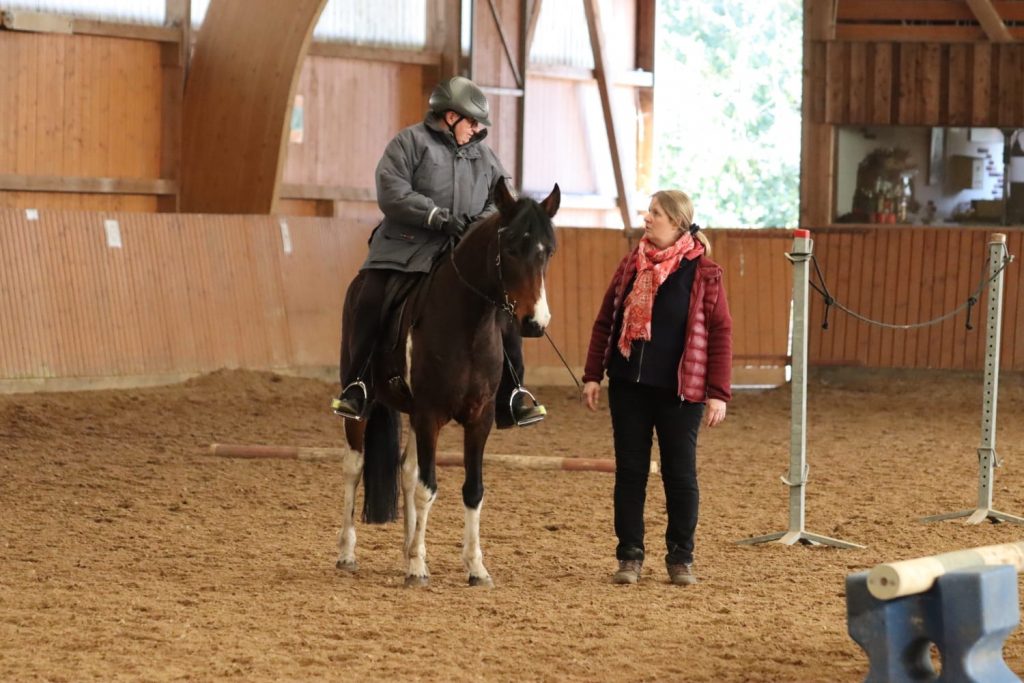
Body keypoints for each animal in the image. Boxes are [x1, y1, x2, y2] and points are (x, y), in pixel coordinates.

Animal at [335, 180, 561, 589]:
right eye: (510, 248)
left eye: (547, 251)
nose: (535, 322)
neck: (468, 324)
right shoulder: (430, 415)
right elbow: (428, 489)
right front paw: (416, 569)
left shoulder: (479, 419)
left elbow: (472, 490)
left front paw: (474, 568)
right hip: (363, 401)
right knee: (354, 467)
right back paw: (348, 552)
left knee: (407, 473)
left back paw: (409, 547)